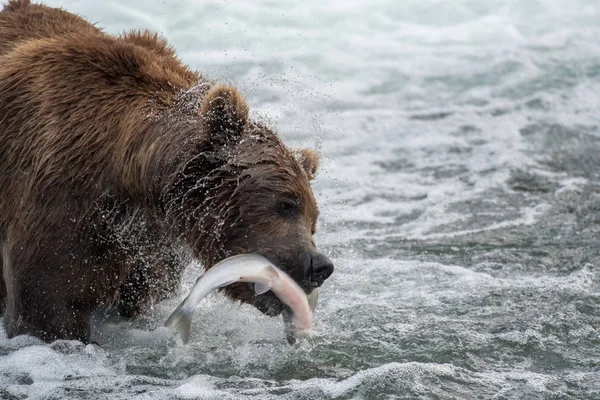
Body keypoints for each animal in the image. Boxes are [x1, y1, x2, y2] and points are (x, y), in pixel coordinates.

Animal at [0, 0, 332, 344]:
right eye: (285, 204)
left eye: (313, 221)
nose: (319, 265)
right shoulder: (62, 196)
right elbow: (48, 304)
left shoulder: (153, 242)